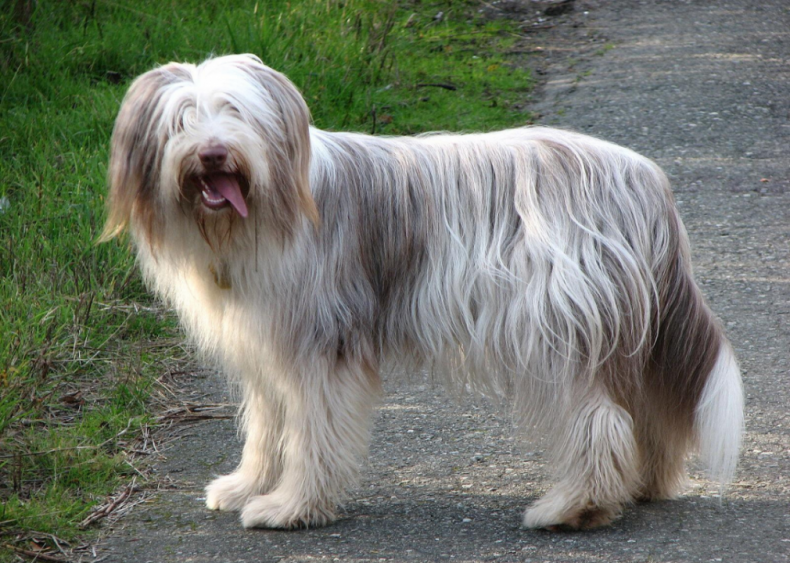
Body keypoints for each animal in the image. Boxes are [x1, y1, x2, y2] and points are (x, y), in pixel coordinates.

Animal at [102, 55, 744, 532]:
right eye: (182, 120)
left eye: (235, 113)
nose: (213, 152)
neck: (258, 216)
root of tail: (646, 178)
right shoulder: (267, 345)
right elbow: (266, 427)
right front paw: (247, 486)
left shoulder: (322, 345)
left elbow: (312, 432)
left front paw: (291, 507)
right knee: (645, 406)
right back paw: (641, 484)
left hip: (555, 327)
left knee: (597, 418)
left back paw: (574, 507)